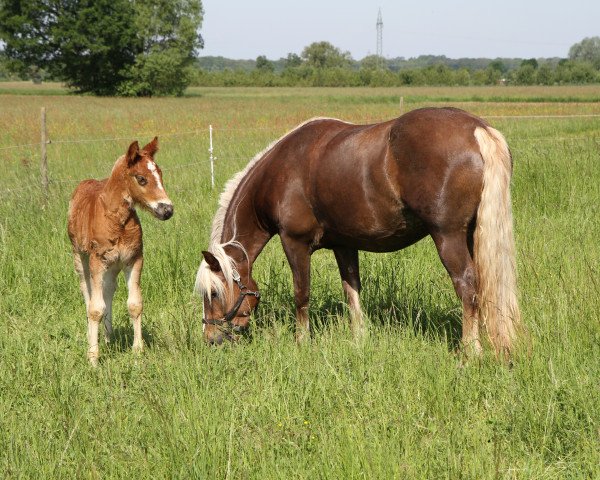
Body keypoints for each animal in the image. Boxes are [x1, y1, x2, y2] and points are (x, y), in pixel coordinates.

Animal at [67, 137, 173, 366]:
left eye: (160, 174)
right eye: (141, 179)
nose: (167, 210)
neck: (116, 219)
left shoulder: (133, 259)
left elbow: (134, 304)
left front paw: (137, 352)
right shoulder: (97, 261)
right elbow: (95, 308)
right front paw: (93, 358)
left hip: (113, 266)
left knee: (108, 291)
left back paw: (109, 338)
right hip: (80, 257)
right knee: (88, 293)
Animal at [196, 109, 520, 356]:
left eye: (213, 292)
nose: (211, 339)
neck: (281, 172)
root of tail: (478, 129)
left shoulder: (295, 243)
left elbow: (302, 294)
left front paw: (302, 342)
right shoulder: (345, 245)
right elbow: (352, 290)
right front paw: (359, 338)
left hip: (448, 236)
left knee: (466, 285)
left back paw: (471, 352)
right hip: (471, 234)